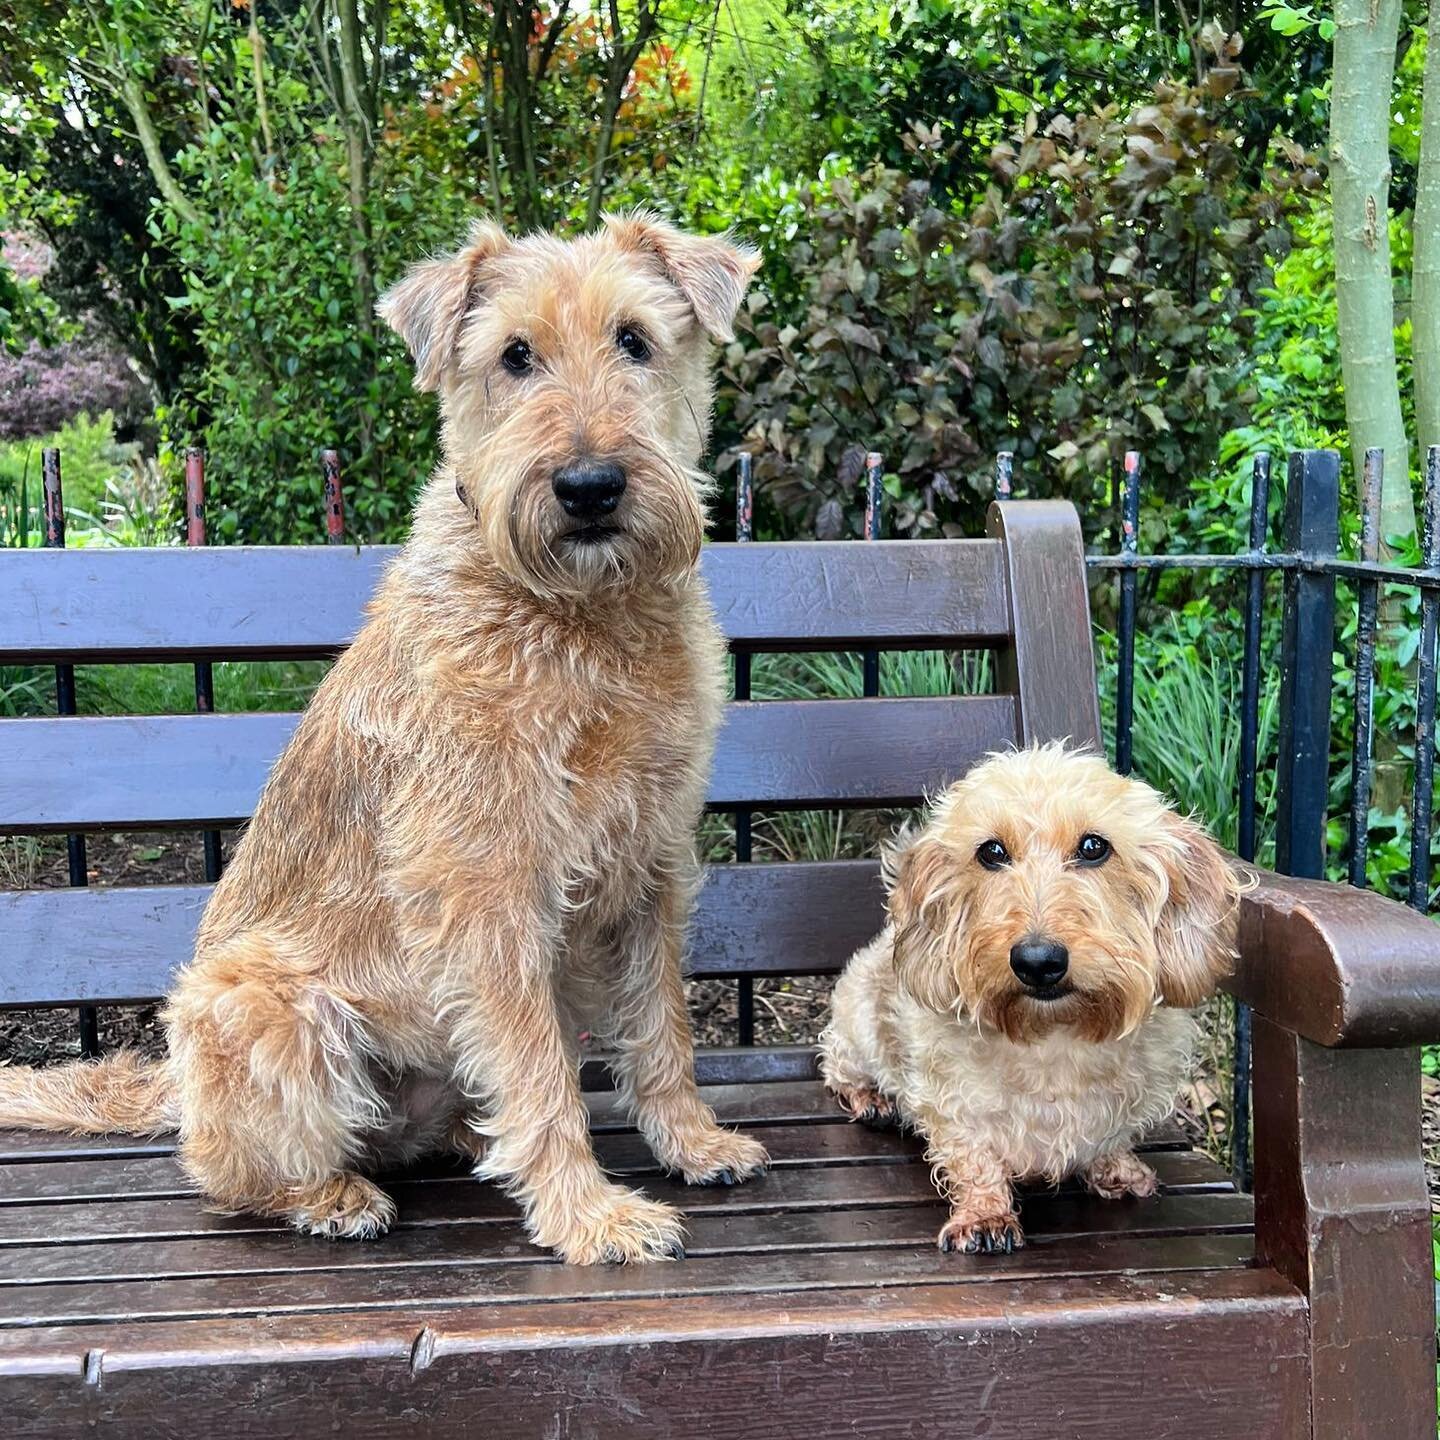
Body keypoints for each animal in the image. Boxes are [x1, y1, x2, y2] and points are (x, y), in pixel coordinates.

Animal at [0, 213, 771, 1261]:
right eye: (515, 354)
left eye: (635, 340)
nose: (590, 487)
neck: (582, 620)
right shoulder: (488, 885)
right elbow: (540, 1069)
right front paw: (590, 1213)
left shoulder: (650, 862)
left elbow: (662, 1028)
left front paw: (692, 1142)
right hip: (264, 1009)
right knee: (231, 1171)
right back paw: (333, 1196)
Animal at [823, 748, 1238, 1255]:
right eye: (991, 851)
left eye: (1094, 846)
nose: (1038, 962)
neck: (1053, 1035)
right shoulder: (951, 1101)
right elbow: (973, 1155)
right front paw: (985, 1215)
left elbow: (1110, 1139)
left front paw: (1116, 1170)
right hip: (857, 1022)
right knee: (838, 1065)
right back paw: (870, 1097)